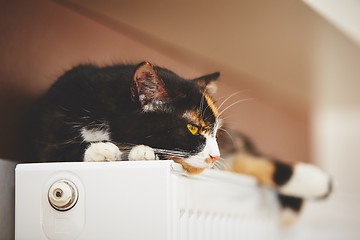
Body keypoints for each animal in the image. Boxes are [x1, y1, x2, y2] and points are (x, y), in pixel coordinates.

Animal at [26, 61, 332, 222]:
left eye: (215, 130)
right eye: (193, 128)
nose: (214, 155)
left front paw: (142, 153)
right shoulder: (44, 134)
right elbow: (54, 150)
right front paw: (102, 149)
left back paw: (318, 183)